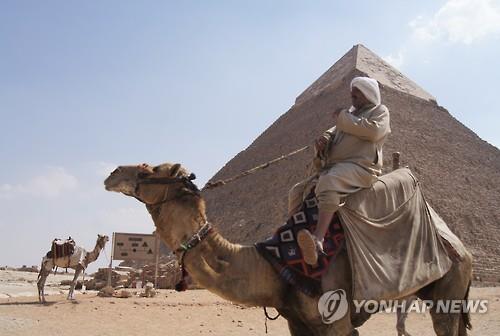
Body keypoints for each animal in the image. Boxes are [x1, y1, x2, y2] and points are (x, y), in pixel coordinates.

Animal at [104, 161, 472, 334]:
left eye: (149, 169)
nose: (112, 173)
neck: (273, 263)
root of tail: (461, 247)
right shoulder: (297, 322)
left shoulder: (337, 320)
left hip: (449, 288)